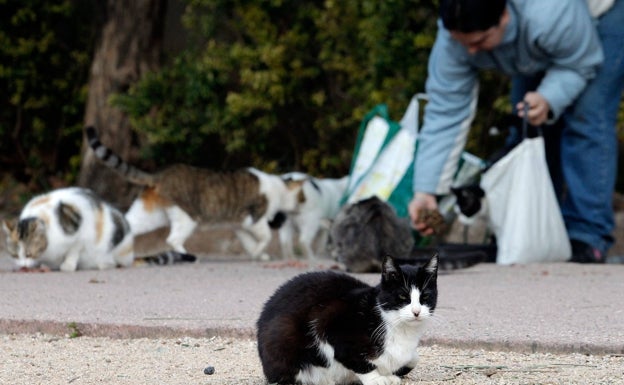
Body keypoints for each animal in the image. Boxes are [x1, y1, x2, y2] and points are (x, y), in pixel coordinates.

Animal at [2, 186, 135, 270]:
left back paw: (105, 264)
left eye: (29, 254)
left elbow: (73, 251)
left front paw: (68, 266)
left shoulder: (82, 235)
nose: (23, 266)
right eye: (15, 255)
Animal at [85, 124, 304, 260]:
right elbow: (265, 237)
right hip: (187, 217)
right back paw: (188, 256)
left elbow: (249, 243)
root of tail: (159, 175)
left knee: (127, 224)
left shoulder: (239, 225)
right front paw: (260, 251)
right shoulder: (255, 218)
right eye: (302, 198)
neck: (279, 186)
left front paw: (258, 255)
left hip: (151, 215)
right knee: (172, 239)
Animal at [256, 254, 436, 382]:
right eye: (402, 297)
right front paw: (377, 379)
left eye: (425, 297)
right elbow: (352, 357)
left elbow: (414, 358)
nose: (416, 311)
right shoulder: (328, 321)